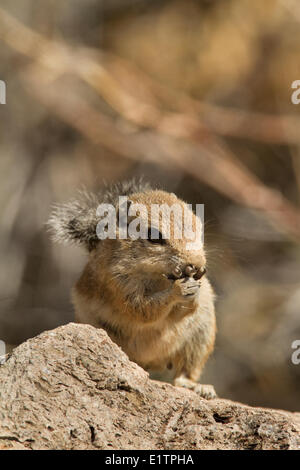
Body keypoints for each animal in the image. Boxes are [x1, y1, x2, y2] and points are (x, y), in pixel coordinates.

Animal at [48, 178, 217, 398]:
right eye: (154, 237)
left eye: (197, 225)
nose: (197, 265)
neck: (160, 277)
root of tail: (149, 361)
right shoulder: (117, 284)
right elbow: (143, 310)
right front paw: (177, 291)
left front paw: (194, 291)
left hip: (201, 335)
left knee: (186, 371)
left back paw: (197, 387)